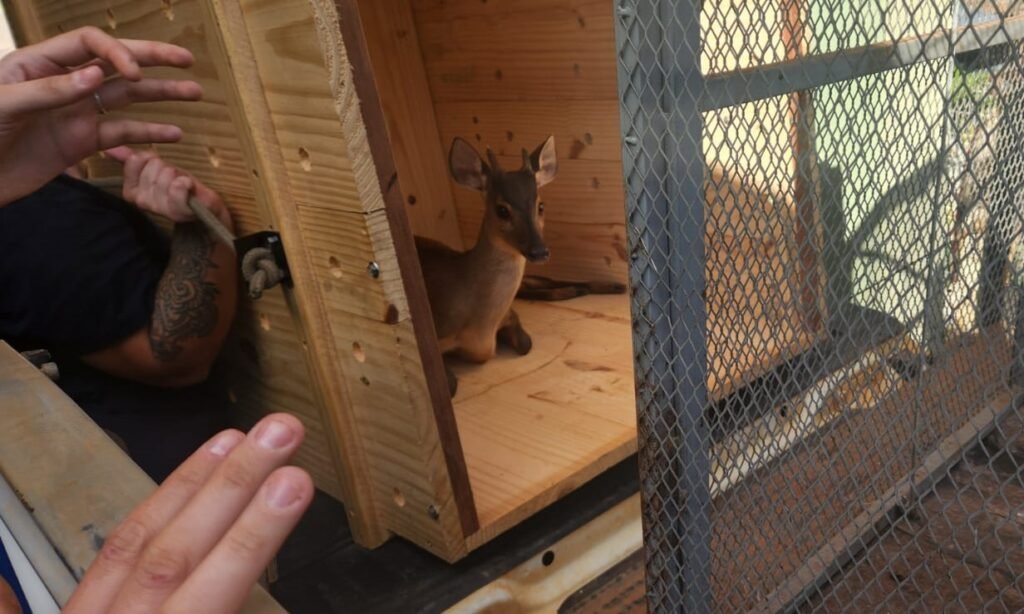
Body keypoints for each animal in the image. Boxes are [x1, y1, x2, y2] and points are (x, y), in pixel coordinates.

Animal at [416, 135, 557, 397]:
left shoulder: (509, 314)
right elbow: (449, 385)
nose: (539, 251)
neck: (483, 328)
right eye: (502, 210)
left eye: (541, 206)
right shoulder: (436, 330)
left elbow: (526, 343)